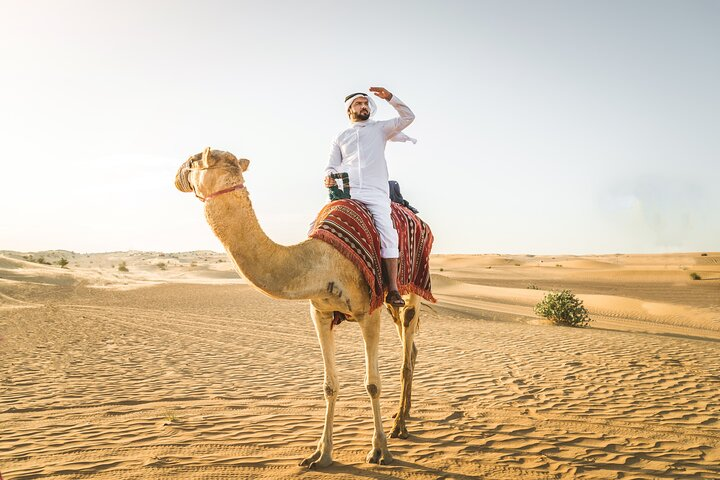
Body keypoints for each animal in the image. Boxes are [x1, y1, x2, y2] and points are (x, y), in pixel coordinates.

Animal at [175, 148, 422, 468]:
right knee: (411, 348)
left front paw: (379, 450)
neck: (321, 260)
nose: (177, 175)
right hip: (390, 305)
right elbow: (329, 385)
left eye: (194, 162)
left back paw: (399, 427)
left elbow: (372, 384)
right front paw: (321, 454)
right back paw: (401, 414)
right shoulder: (320, 312)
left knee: (406, 351)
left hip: (410, 290)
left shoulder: (367, 312)